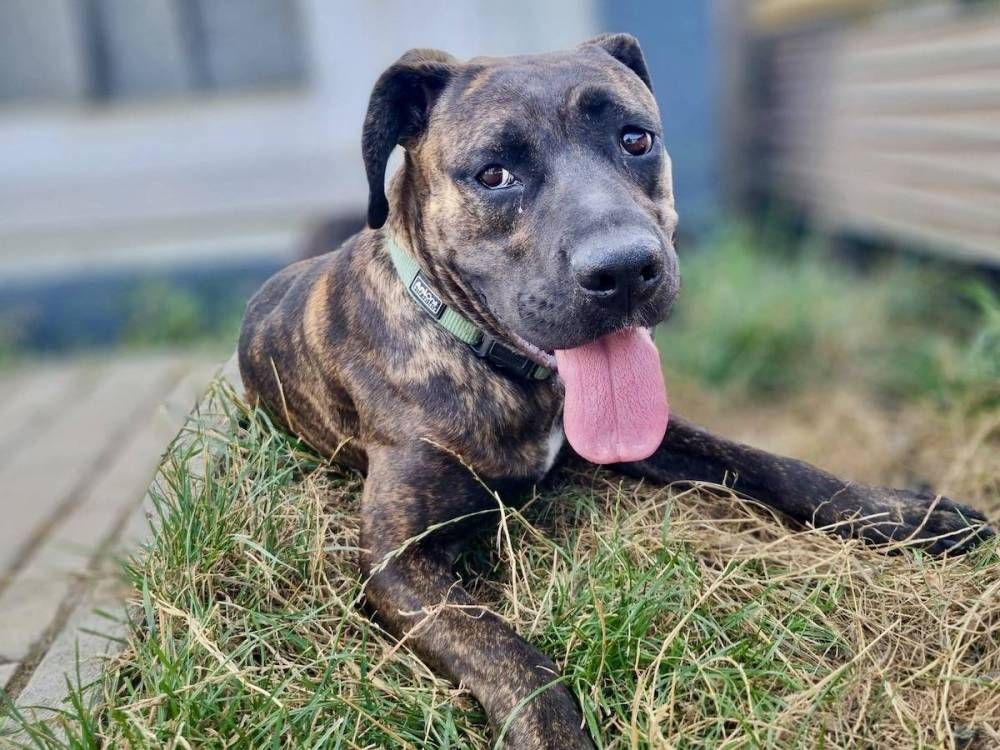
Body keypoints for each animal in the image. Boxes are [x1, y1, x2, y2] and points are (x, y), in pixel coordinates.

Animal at [238, 35, 993, 749]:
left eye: (636, 139)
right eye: (493, 174)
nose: (626, 269)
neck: (504, 370)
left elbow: (777, 465)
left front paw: (914, 516)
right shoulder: (397, 559)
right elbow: (502, 648)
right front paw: (553, 730)